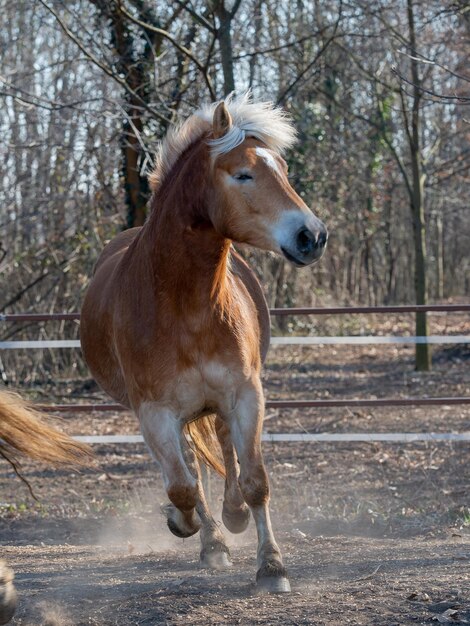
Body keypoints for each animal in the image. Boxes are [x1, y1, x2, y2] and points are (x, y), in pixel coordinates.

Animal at [80, 92, 326, 588]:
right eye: (243, 174)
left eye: (284, 169)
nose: (311, 235)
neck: (185, 306)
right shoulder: (155, 413)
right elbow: (182, 485)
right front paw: (186, 524)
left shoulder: (246, 394)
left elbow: (255, 480)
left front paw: (271, 565)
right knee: (191, 468)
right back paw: (209, 537)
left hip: (218, 404)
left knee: (225, 452)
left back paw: (231, 518)